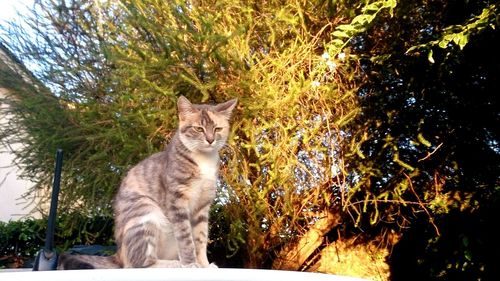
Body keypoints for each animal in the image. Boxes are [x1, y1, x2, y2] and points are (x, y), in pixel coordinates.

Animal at [57, 96, 237, 270]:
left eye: (217, 129)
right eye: (199, 129)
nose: (210, 140)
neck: (203, 160)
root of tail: (118, 254)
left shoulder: (202, 206)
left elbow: (200, 238)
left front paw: (204, 264)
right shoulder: (177, 202)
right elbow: (186, 238)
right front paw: (190, 264)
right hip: (145, 212)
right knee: (137, 263)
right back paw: (174, 264)